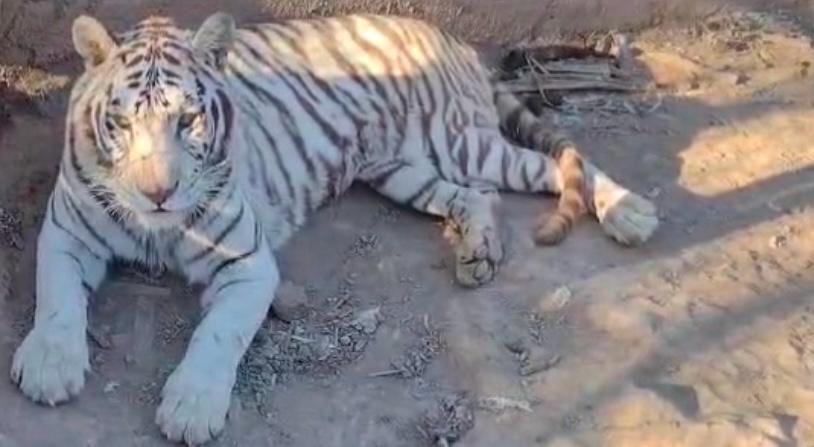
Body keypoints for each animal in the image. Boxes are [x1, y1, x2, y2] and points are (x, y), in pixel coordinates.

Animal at [10, 11, 658, 445]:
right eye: (122, 123)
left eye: (188, 120)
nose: (157, 195)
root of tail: (448, 34)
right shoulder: (66, 230)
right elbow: (57, 299)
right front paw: (48, 366)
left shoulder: (247, 263)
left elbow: (217, 335)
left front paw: (191, 406)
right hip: (400, 168)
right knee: (477, 195)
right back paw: (477, 252)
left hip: (455, 142)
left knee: (556, 166)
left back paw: (631, 214)